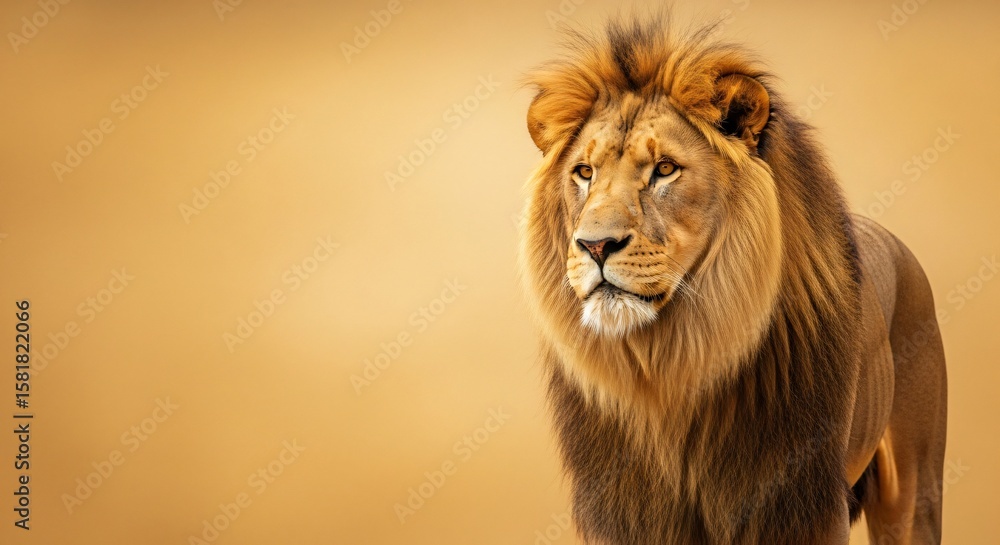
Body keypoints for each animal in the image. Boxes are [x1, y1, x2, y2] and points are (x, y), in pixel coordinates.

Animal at [518, 17, 947, 545]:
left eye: (665, 169)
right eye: (584, 172)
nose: (595, 246)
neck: (670, 365)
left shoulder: (801, 504)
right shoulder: (630, 511)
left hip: (914, 484)